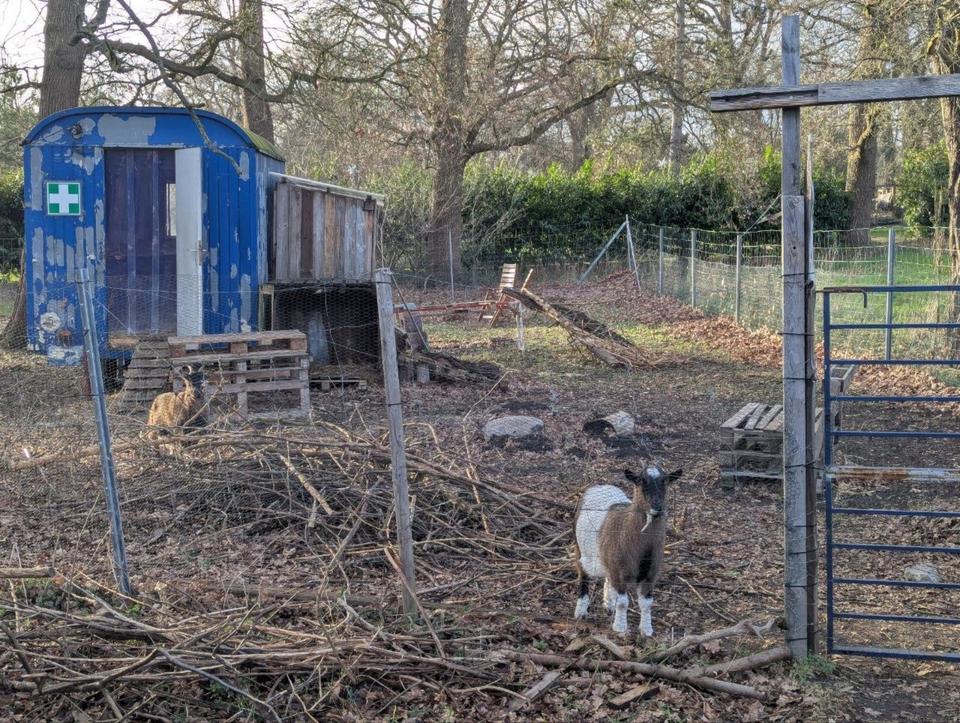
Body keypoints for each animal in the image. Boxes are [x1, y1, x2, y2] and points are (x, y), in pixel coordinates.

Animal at [573, 464, 682, 636]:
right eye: (641, 481)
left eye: (665, 481)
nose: (657, 507)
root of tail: (601, 486)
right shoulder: (620, 571)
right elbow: (623, 602)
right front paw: (620, 627)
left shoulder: (651, 574)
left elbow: (647, 603)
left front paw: (646, 630)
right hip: (580, 548)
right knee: (583, 576)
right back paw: (581, 612)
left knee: (607, 578)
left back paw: (609, 604)